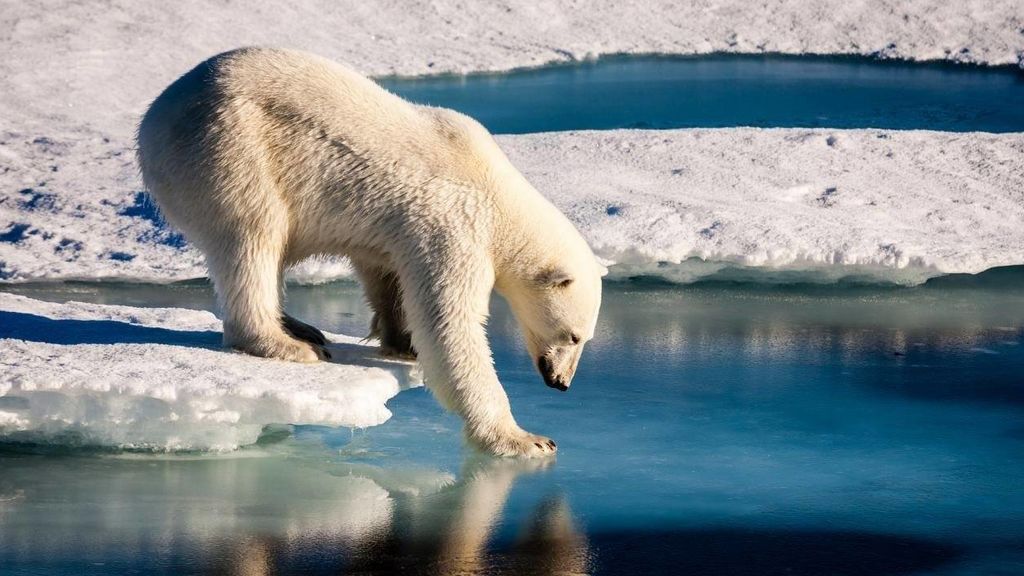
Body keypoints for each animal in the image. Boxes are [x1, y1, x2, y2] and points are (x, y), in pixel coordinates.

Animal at [135, 47, 598, 455]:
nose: (561, 382)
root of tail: (153, 119)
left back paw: (300, 327)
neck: (497, 194)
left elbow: (386, 273)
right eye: (573, 335)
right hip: (230, 149)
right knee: (253, 237)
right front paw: (525, 439)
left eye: (585, 338)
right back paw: (288, 344)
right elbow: (451, 326)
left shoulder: (398, 230)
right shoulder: (454, 227)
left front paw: (401, 341)